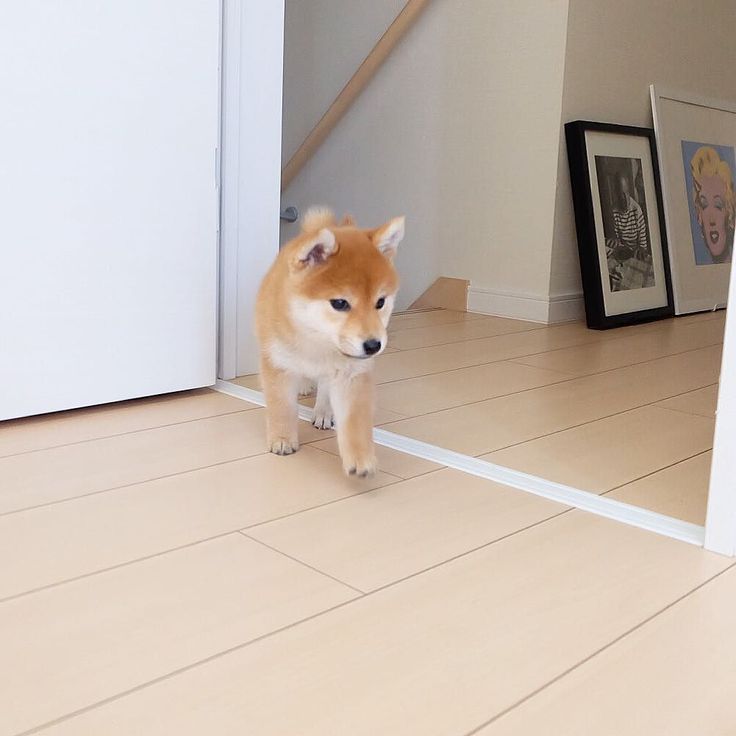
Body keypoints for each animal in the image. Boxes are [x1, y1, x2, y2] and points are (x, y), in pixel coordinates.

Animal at [252, 207, 402, 478]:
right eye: (340, 303)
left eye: (380, 302)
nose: (373, 345)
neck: (317, 340)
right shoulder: (277, 363)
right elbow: (282, 406)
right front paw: (282, 439)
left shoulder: (352, 375)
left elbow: (355, 420)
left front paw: (361, 457)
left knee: (323, 386)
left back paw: (323, 412)